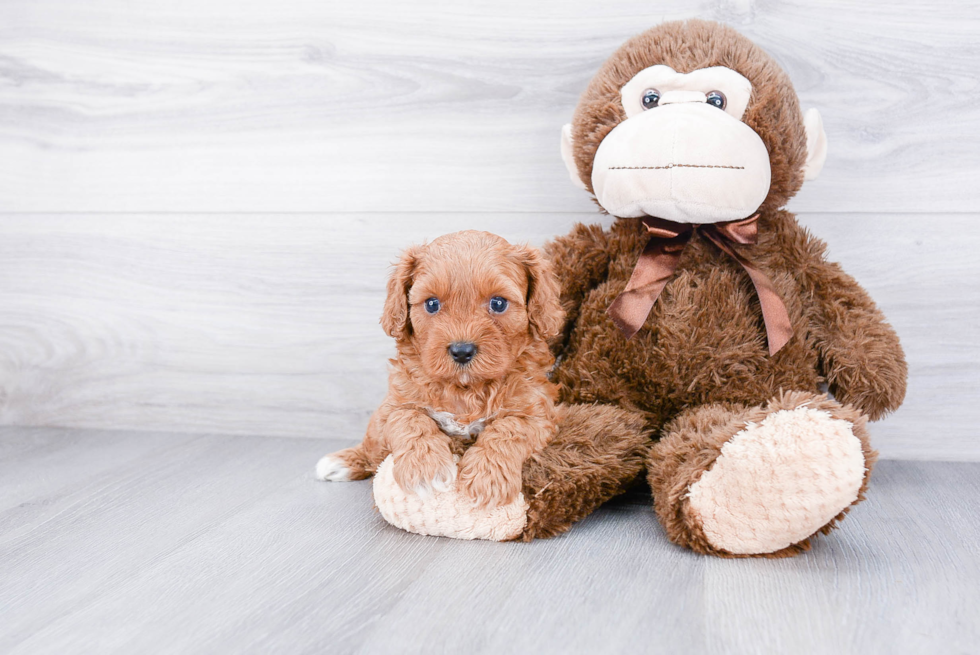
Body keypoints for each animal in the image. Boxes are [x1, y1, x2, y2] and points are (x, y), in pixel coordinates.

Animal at [314, 228, 560, 510]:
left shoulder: (538, 414)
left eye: (498, 303)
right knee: (371, 447)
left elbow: (508, 429)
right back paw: (343, 461)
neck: (465, 388)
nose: (462, 351)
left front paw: (487, 478)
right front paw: (425, 470)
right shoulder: (395, 404)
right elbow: (410, 419)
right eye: (432, 304)